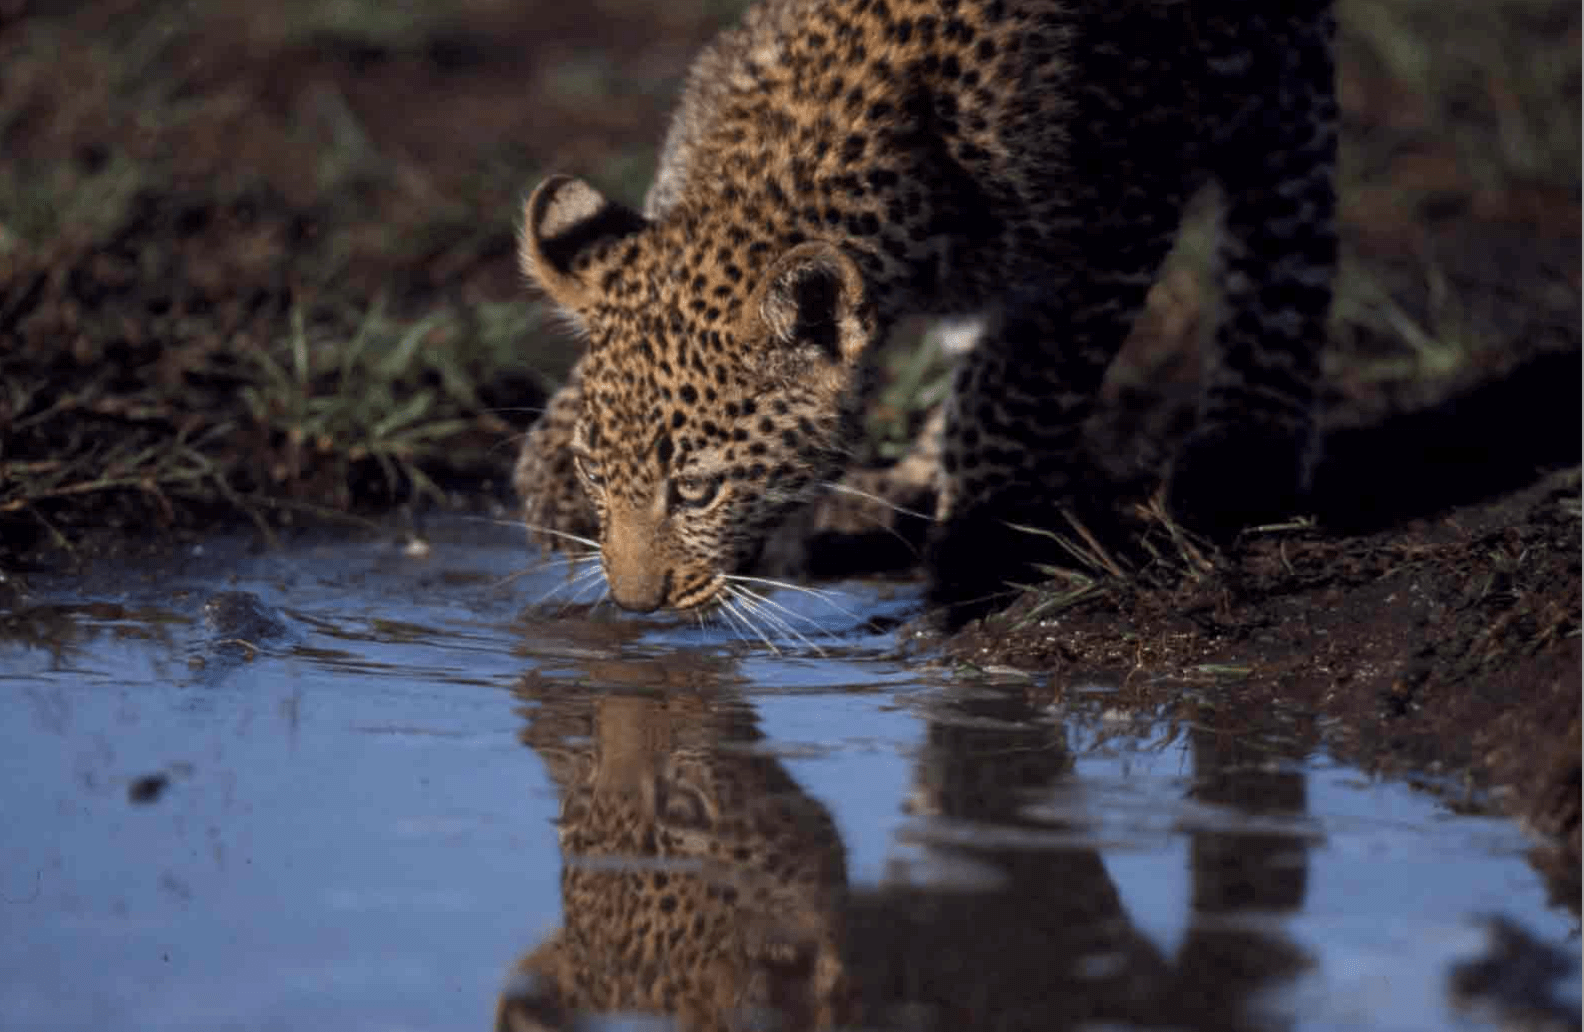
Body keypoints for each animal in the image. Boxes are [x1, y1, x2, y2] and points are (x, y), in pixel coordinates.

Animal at [513, 0, 1338, 621]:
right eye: (596, 472)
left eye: (696, 491)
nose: (635, 605)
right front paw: (550, 482)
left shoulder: (1117, 224)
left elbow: (1013, 395)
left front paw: (980, 541)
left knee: (1288, 205)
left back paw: (1242, 451)